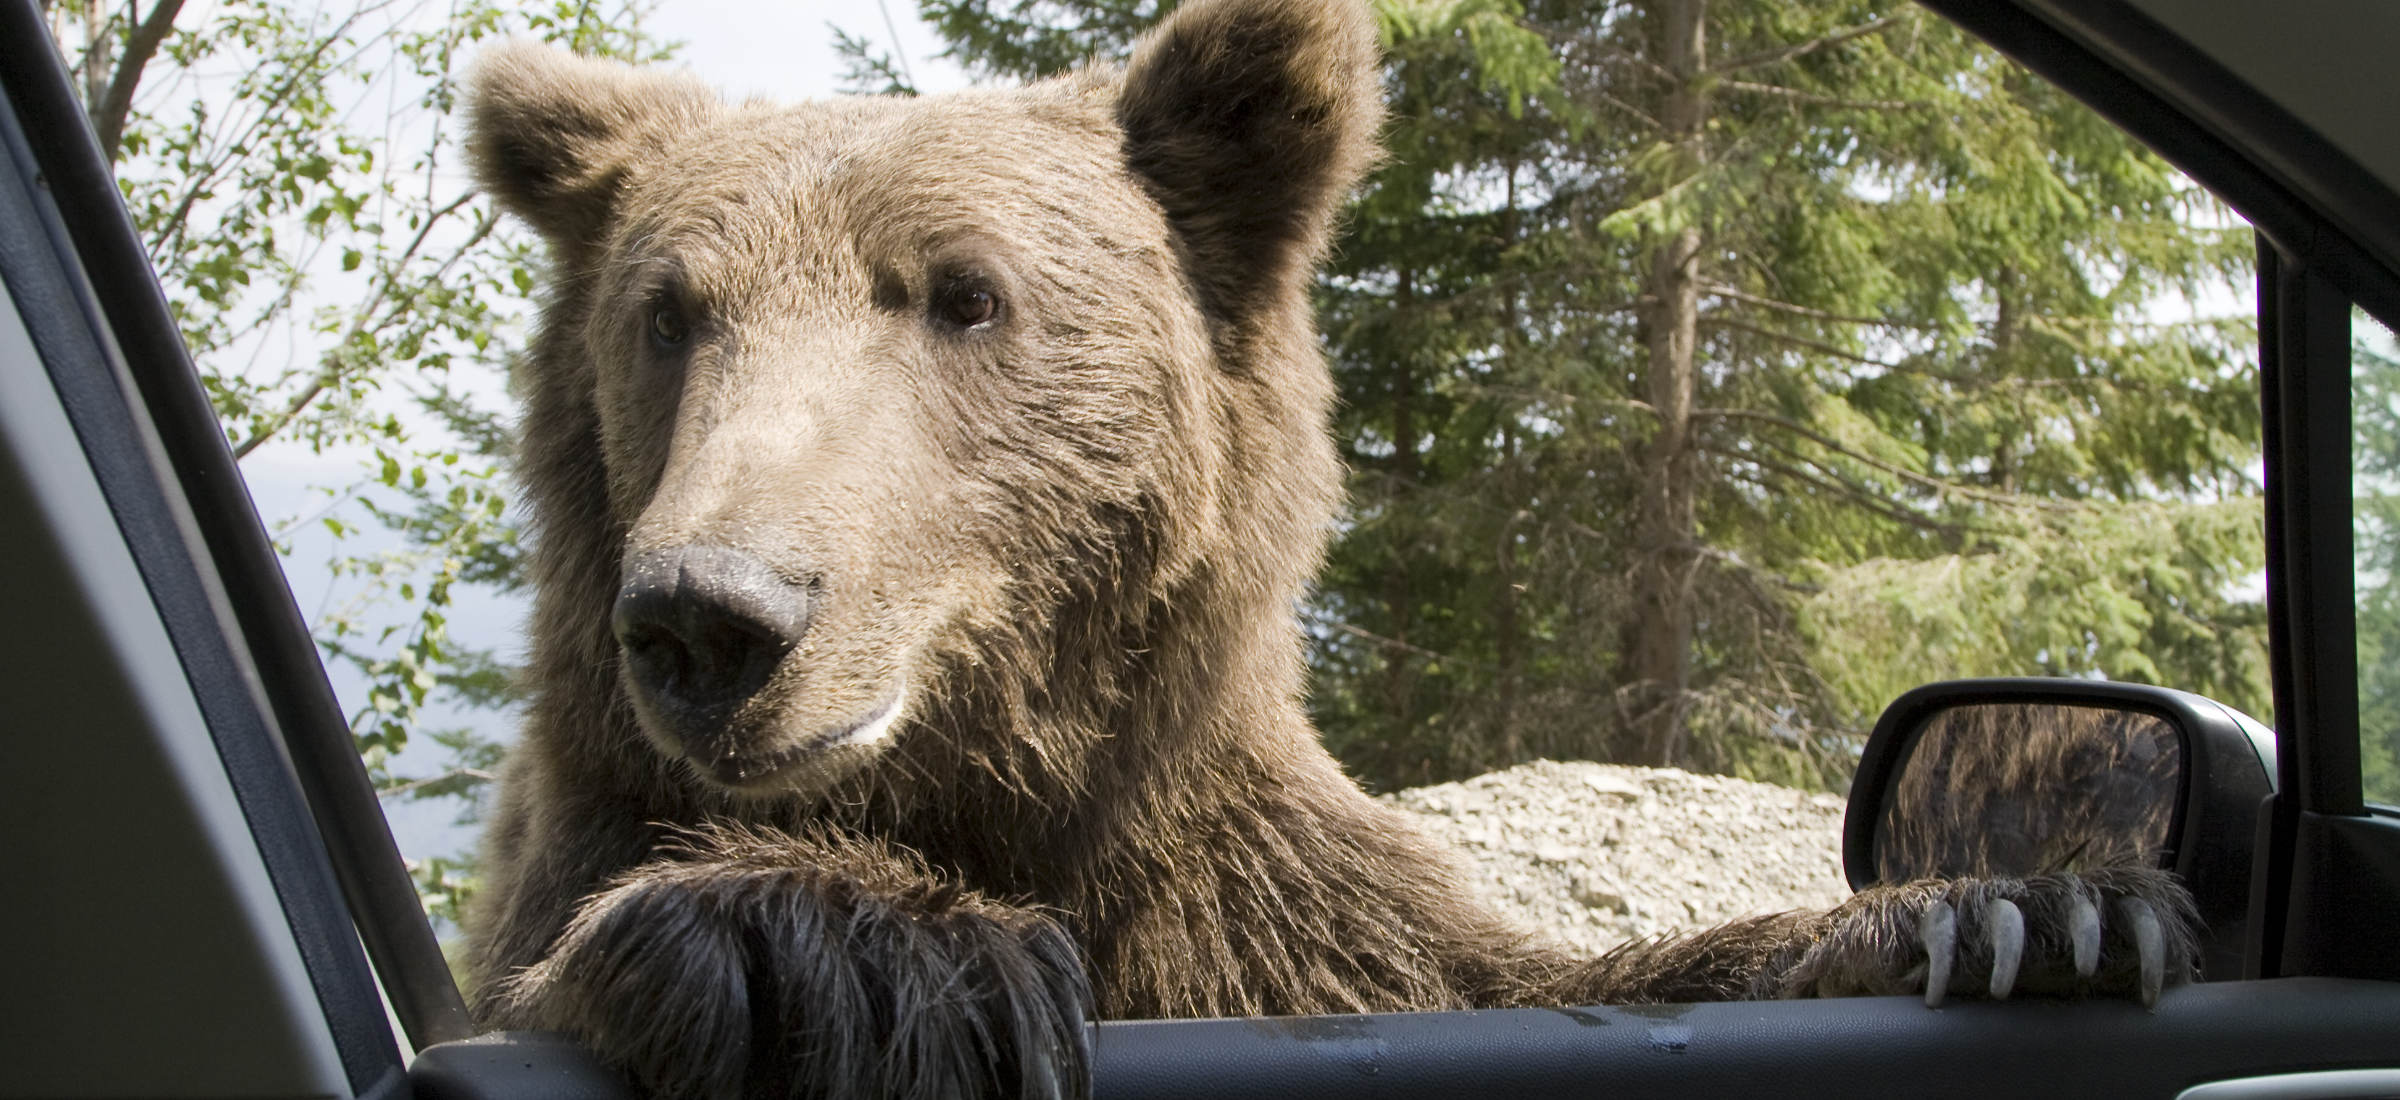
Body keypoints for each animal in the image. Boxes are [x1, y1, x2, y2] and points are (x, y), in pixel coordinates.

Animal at [463, 0, 2198, 1095]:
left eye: (963, 293)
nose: (715, 614)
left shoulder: (1260, 910)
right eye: (669, 313)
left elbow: (1520, 977)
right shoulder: (582, 848)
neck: (993, 792)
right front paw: (848, 949)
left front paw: (2019, 910)